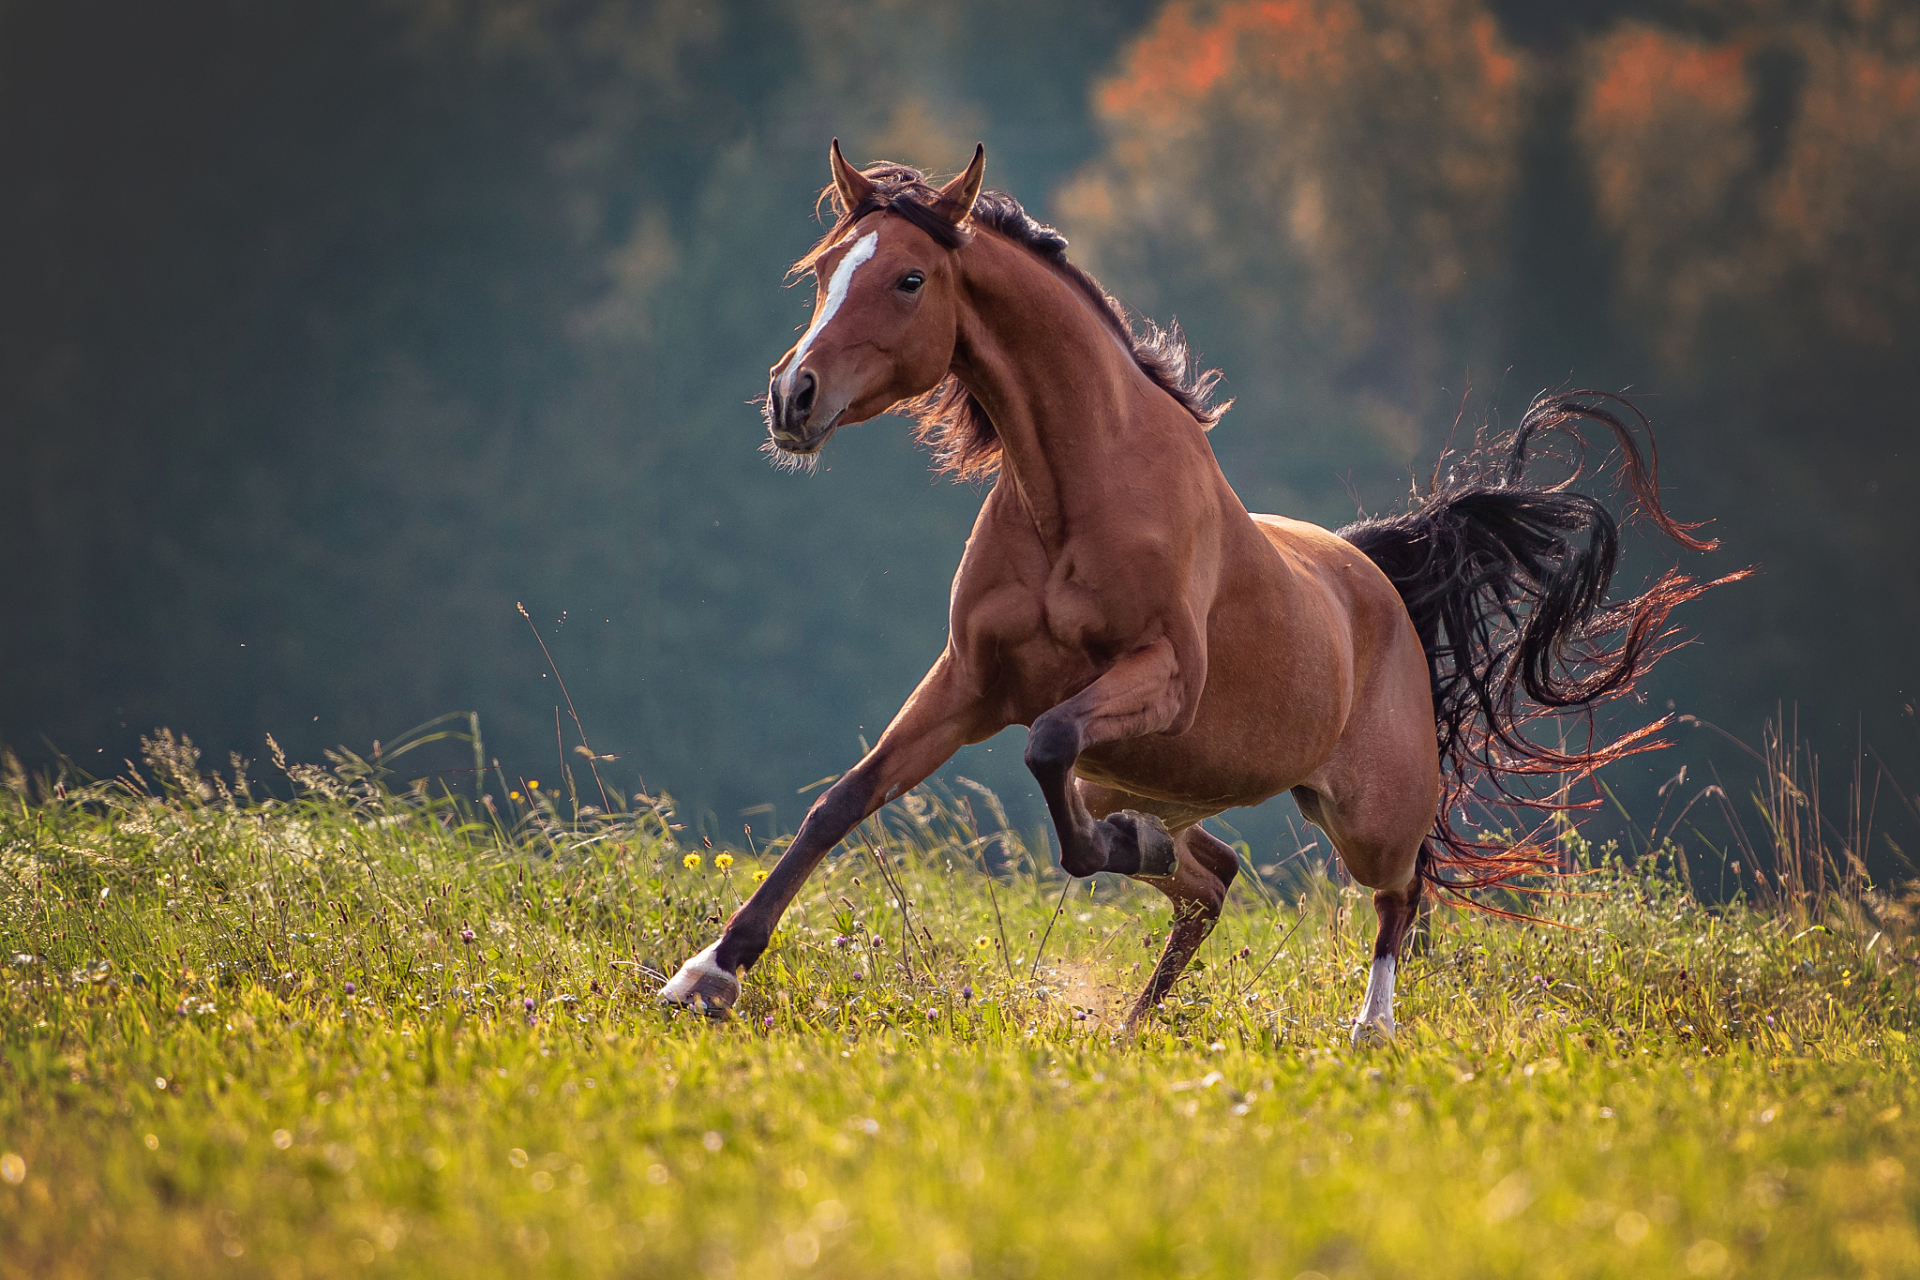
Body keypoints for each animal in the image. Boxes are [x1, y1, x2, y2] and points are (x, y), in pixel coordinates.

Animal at [664, 142, 1728, 1043]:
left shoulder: (1161, 679)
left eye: (909, 278)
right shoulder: (969, 682)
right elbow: (844, 801)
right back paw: (1136, 1008)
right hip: (1142, 772)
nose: (792, 397)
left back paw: (1368, 1030)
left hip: (1368, 812)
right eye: (822, 271)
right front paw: (706, 974)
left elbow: (1047, 750)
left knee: (1399, 892)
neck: (1080, 490)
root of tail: (1377, 576)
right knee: (1213, 878)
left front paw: (1119, 848)